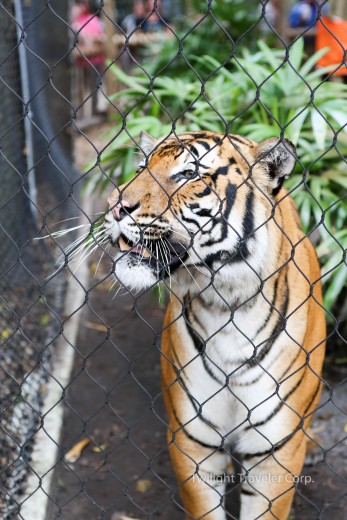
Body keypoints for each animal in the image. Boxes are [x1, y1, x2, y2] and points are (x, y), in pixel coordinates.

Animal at [104, 131, 326, 520]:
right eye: (142, 167)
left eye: (189, 174)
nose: (115, 206)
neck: (226, 307)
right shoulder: (192, 442)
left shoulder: (274, 457)